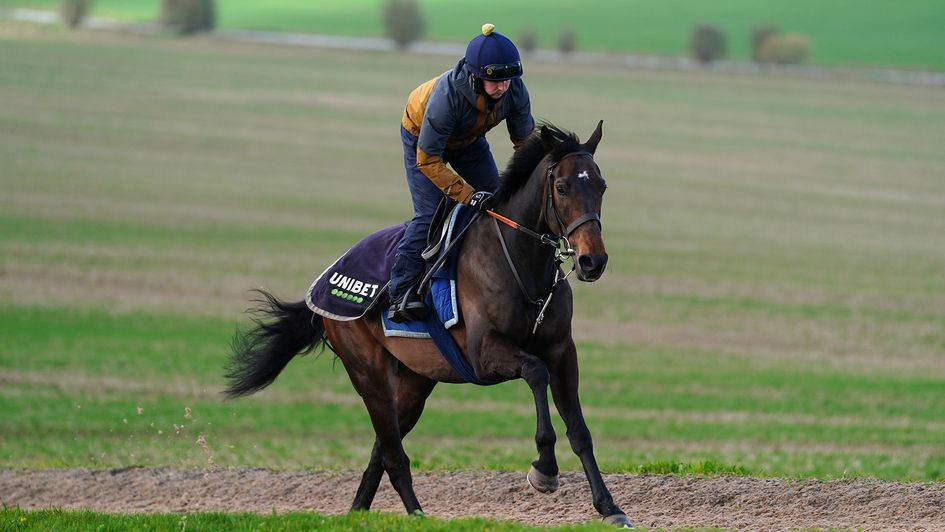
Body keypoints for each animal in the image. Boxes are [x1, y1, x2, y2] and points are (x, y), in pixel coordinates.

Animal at [224, 121, 632, 528]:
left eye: (601, 185)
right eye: (561, 187)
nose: (592, 261)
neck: (520, 262)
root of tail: (327, 277)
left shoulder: (562, 350)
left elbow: (579, 430)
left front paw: (610, 508)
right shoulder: (484, 353)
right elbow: (535, 372)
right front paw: (544, 468)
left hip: (415, 382)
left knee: (381, 448)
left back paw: (360, 513)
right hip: (368, 372)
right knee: (392, 453)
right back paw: (417, 513)